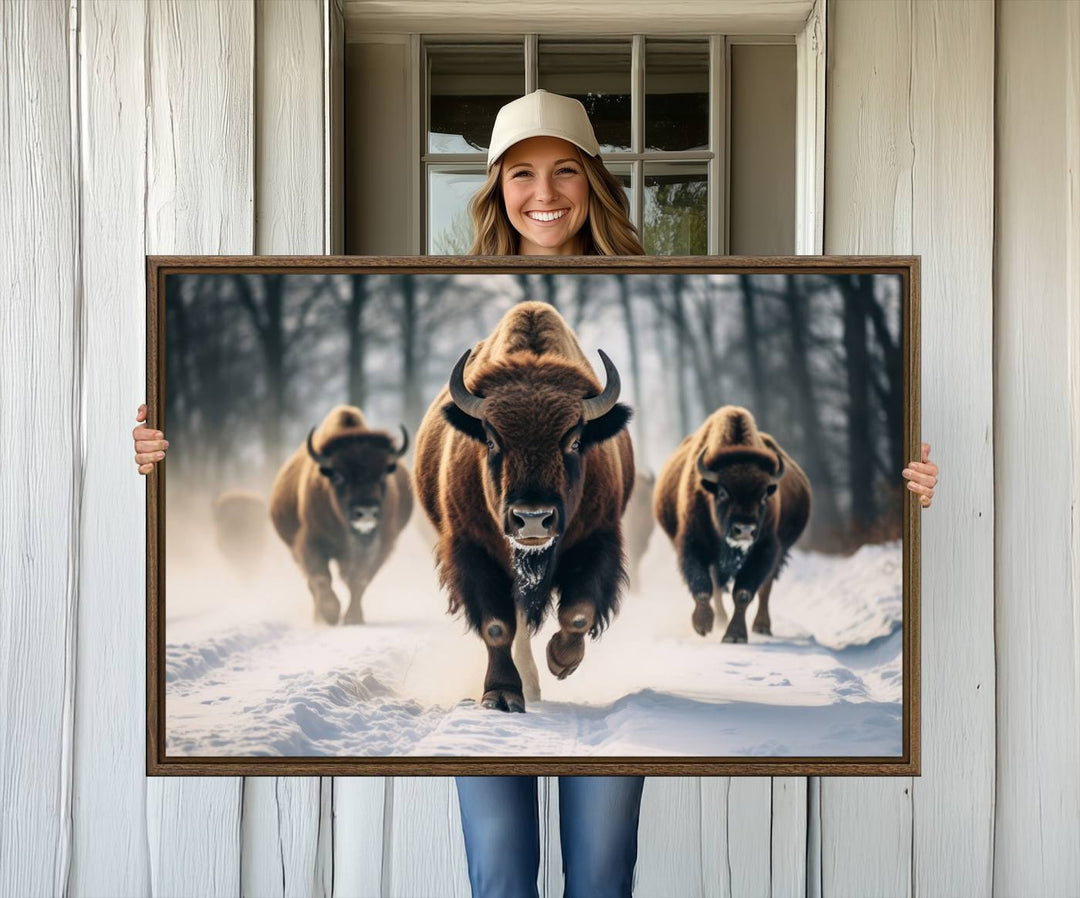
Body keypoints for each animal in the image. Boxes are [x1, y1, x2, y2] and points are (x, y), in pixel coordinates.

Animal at [270, 406, 412, 626]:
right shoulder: (310, 542)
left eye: (382, 474)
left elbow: (359, 580)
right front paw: (330, 613)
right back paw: (319, 616)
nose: (366, 512)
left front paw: (353, 618)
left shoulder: (381, 545)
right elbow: (321, 577)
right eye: (338, 475)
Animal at [412, 304, 630, 713]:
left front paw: (561, 661)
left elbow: (579, 613)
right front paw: (502, 694)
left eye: (575, 441)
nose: (532, 519)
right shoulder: (473, 549)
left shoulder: (597, 539)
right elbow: (497, 627)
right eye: (491, 440)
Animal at [648, 406, 812, 648]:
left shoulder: (765, 549)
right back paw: (720, 620)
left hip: (779, 552)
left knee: (765, 588)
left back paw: (762, 626)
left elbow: (743, 592)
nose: (744, 530)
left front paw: (734, 635)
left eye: (764, 495)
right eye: (723, 492)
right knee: (718, 586)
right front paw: (703, 625)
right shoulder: (693, 544)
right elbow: (703, 586)